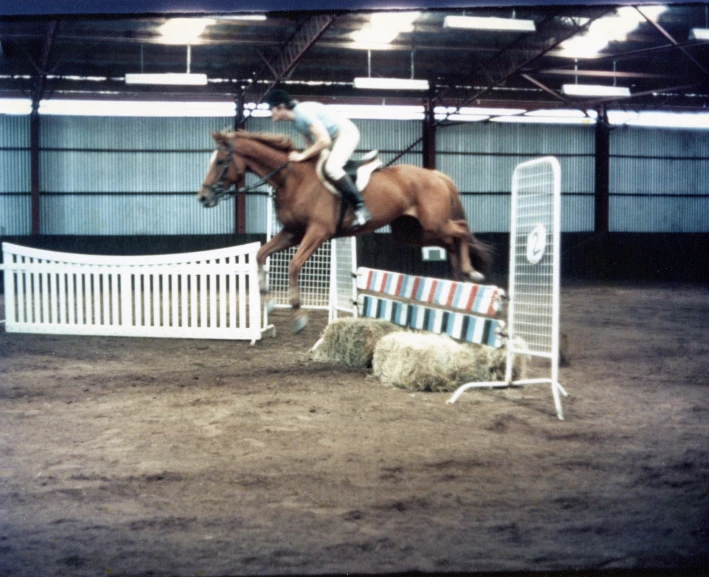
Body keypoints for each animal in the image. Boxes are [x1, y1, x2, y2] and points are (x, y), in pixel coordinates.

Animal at [196, 127, 490, 330]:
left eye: (220, 162)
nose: (203, 198)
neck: (291, 178)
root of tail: (437, 175)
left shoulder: (317, 233)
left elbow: (293, 266)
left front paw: (299, 316)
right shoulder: (293, 233)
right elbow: (260, 255)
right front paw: (268, 303)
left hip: (433, 223)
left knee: (461, 229)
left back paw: (470, 272)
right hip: (413, 232)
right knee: (451, 240)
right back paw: (460, 279)